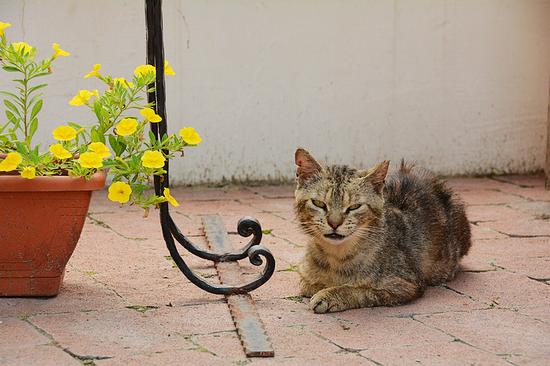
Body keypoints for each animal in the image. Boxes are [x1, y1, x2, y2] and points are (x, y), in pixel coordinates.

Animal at [296, 147, 472, 314]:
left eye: (354, 207)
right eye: (319, 203)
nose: (334, 223)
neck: (335, 256)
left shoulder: (405, 284)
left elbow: (360, 290)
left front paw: (329, 295)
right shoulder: (304, 275)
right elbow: (307, 284)